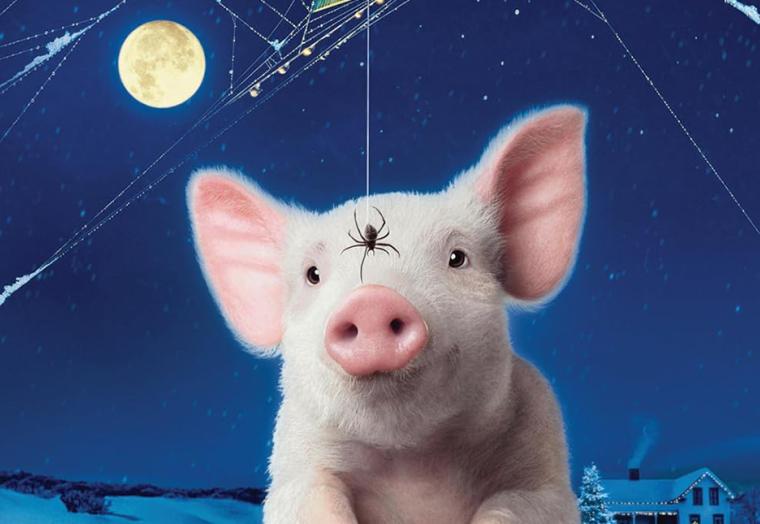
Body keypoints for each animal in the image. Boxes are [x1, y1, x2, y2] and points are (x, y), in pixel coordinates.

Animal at [187, 105, 587, 524]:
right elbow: (313, 499)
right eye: (312, 274)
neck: (410, 463)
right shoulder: (295, 465)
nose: (371, 301)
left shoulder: (543, 467)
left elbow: (516, 504)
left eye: (458, 257)